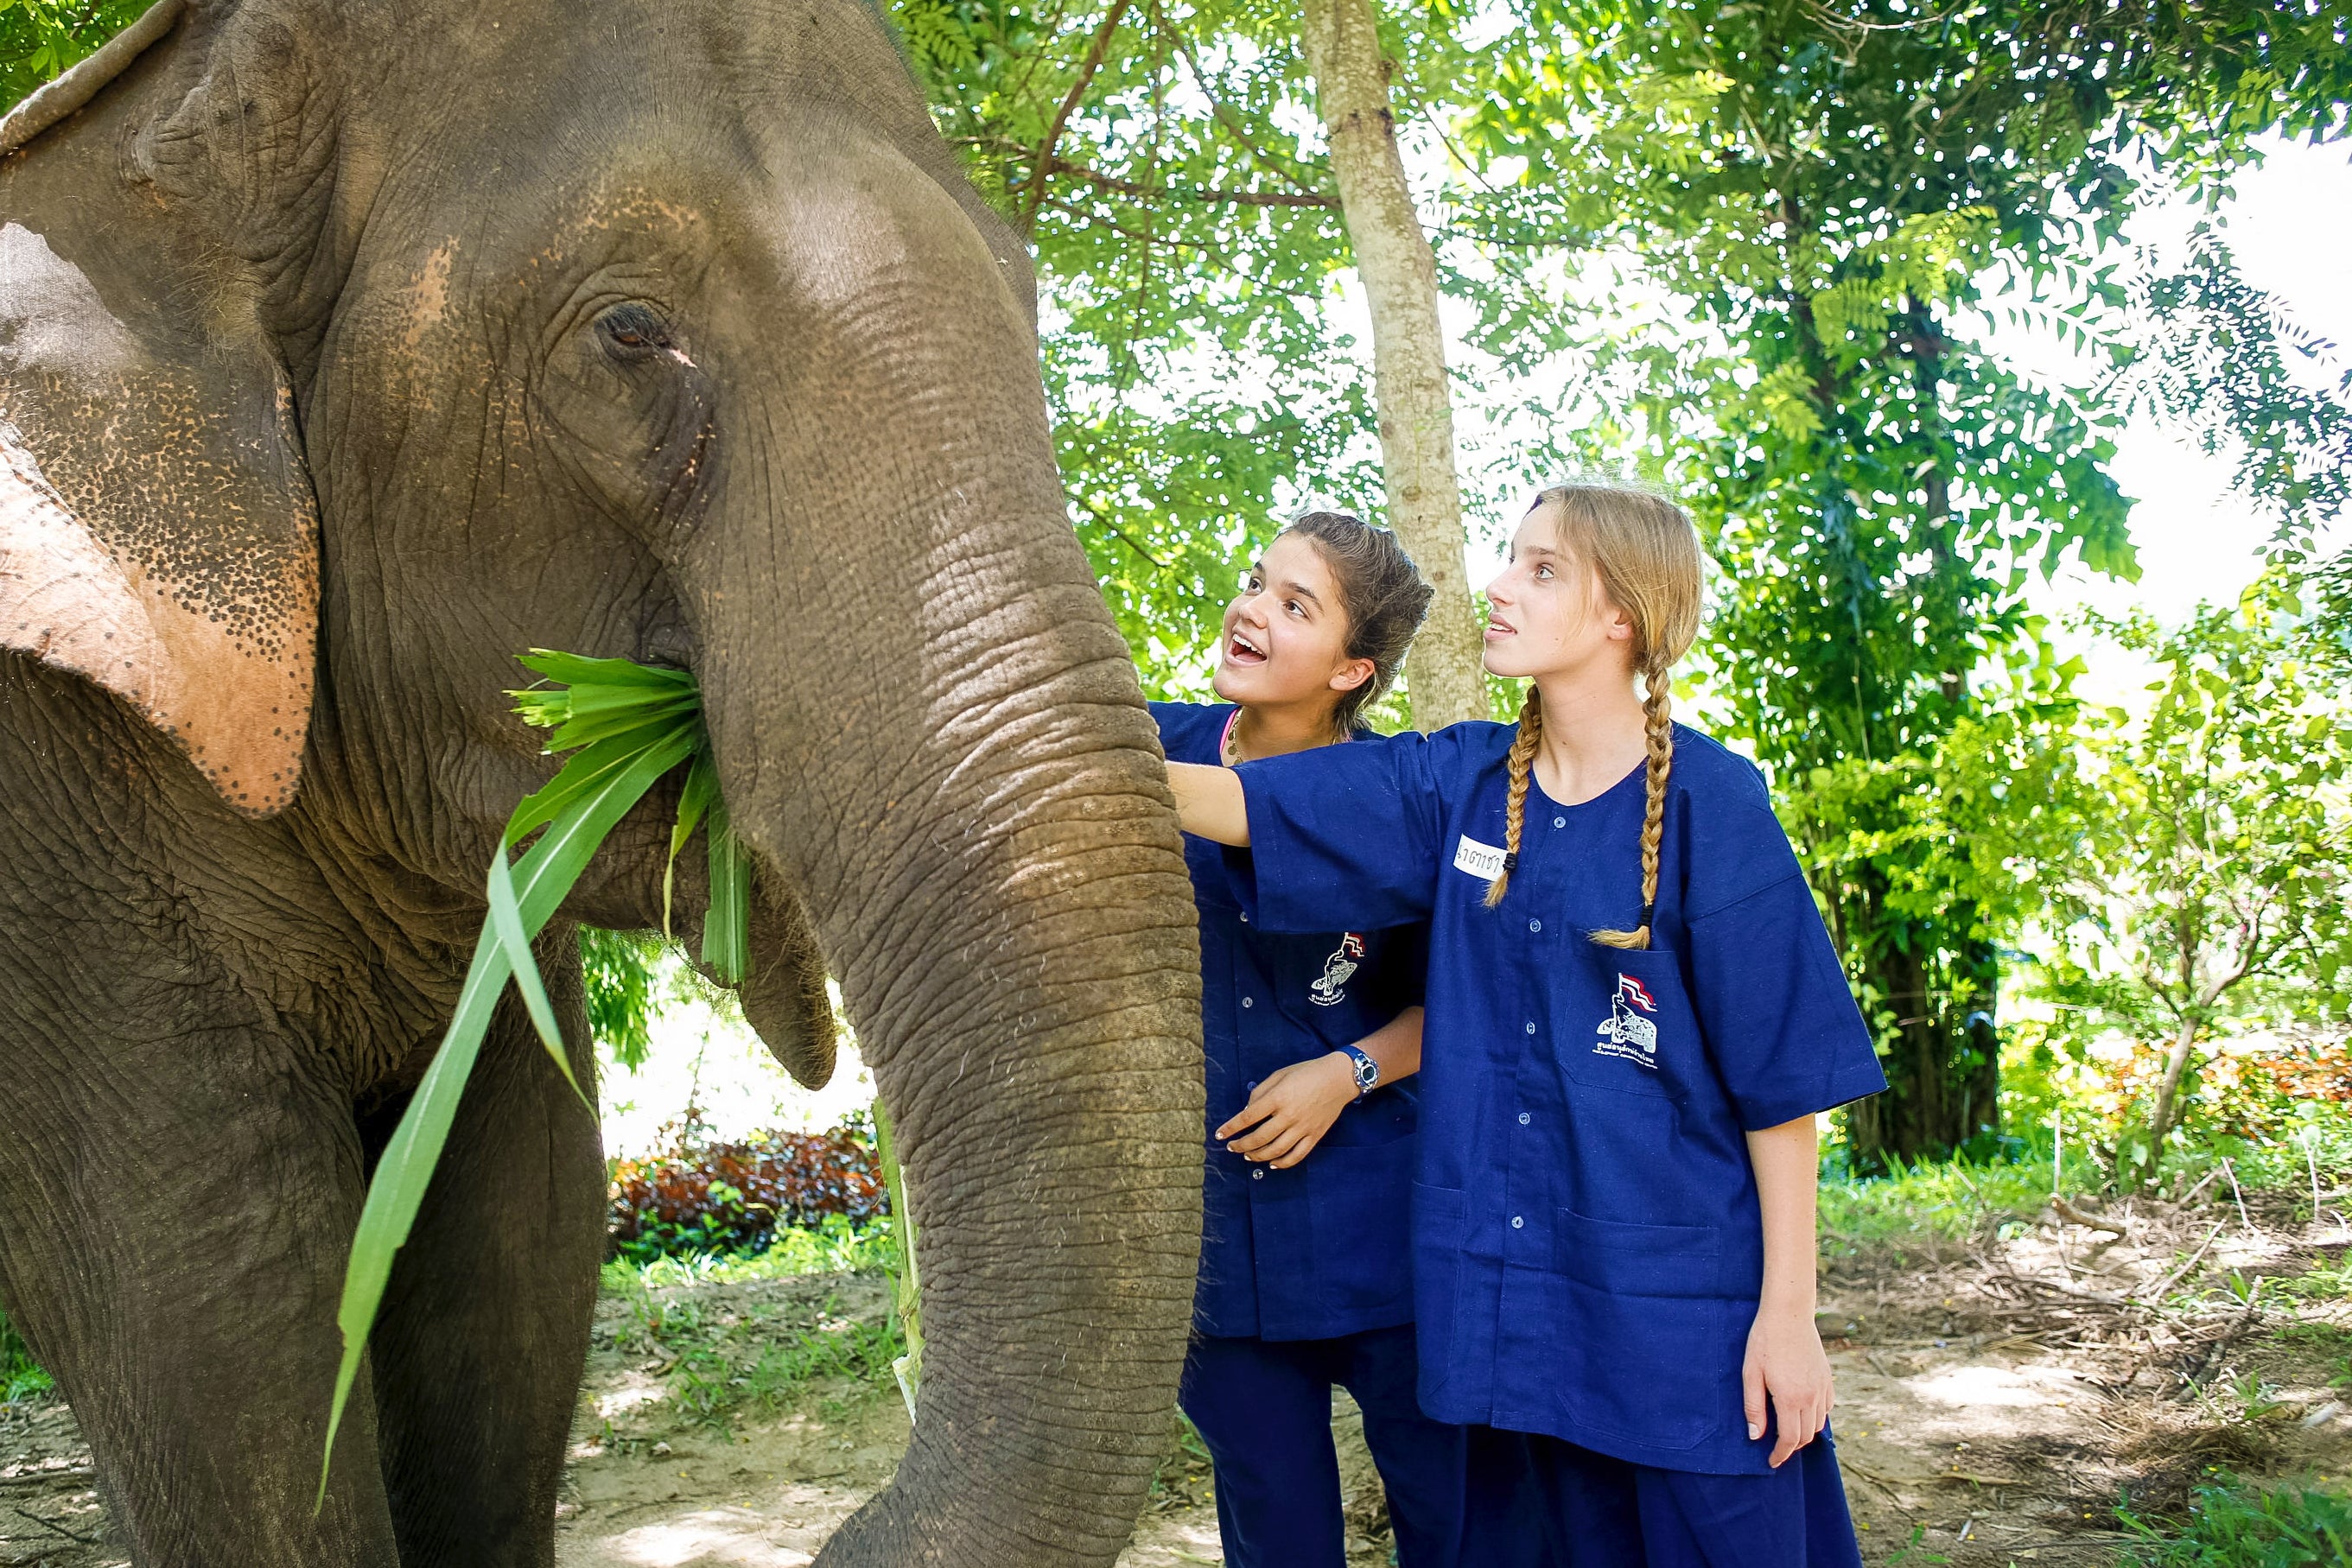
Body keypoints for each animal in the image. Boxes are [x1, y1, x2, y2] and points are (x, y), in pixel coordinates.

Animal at [0, 0, 1204, 1560]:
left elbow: (520, 1244)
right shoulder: (50, 848)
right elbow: (213, 1306)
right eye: (626, 335)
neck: (132, 120)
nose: (836, 1519)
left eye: (1026, 290)